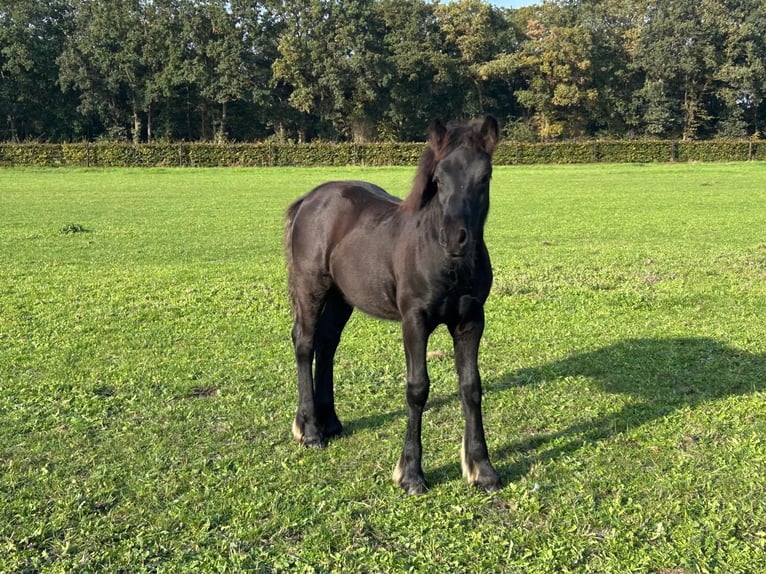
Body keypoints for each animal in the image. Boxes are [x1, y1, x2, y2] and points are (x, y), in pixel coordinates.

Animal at [284, 116, 501, 494]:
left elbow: (471, 387)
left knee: (327, 344)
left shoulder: (471, 320)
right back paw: (309, 430)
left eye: (484, 176)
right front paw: (411, 473)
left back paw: (330, 422)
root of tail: (309, 199)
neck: (448, 265)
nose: (455, 238)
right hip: (311, 287)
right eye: (438, 179)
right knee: (305, 343)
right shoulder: (414, 321)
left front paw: (482, 469)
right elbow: (417, 388)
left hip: (342, 297)